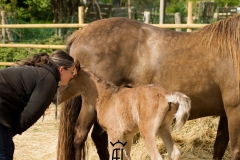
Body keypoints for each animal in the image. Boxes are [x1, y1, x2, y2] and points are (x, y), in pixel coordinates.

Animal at [57, 65, 190, 160]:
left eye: (68, 79)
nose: (56, 97)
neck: (106, 96)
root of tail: (166, 95)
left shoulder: (114, 133)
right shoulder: (127, 135)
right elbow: (126, 157)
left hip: (147, 131)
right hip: (164, 128)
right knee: (174, 153)